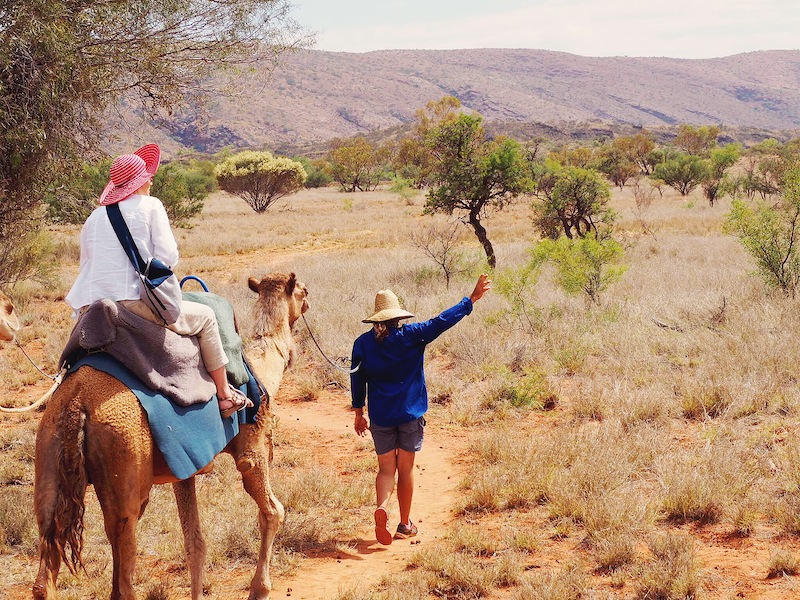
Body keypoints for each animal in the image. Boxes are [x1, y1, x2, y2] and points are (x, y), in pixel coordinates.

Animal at [31, 274, 308, 600]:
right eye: (303, 291)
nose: (308, 302)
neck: (263, 369)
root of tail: (76, 403)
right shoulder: (252, 447)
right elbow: (273, 511)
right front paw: (259, 589)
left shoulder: (185, 466)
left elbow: (195, 543)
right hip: (125, 458)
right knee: (124, 571)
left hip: (49, 454)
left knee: (46, 565)